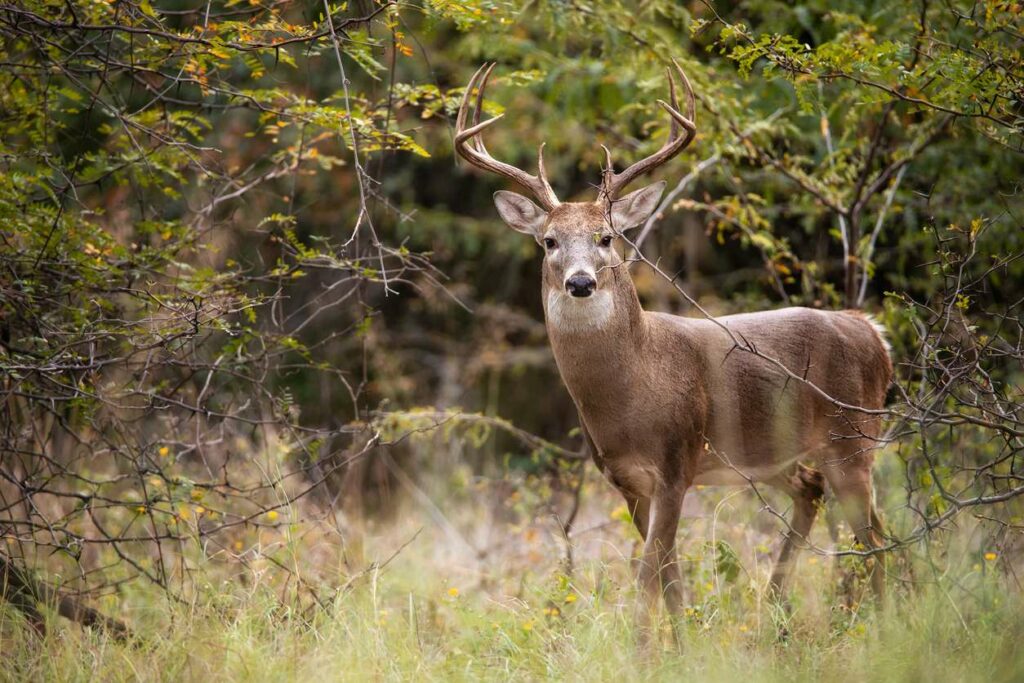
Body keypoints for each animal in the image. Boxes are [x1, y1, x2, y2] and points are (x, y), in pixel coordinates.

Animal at [452, 61, 892, 638]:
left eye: (607, 237)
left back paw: (885, 622)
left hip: (852, 437)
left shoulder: (677, 461)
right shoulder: (626, 479)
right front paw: (683, 642)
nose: (580, 282)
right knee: (820, 497)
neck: (635, 387)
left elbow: (647, 576)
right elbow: (669, 576)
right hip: (779, 453)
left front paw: (644, 647)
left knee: (875, 538)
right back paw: (779, 611)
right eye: (548, 241)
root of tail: (874, 333)